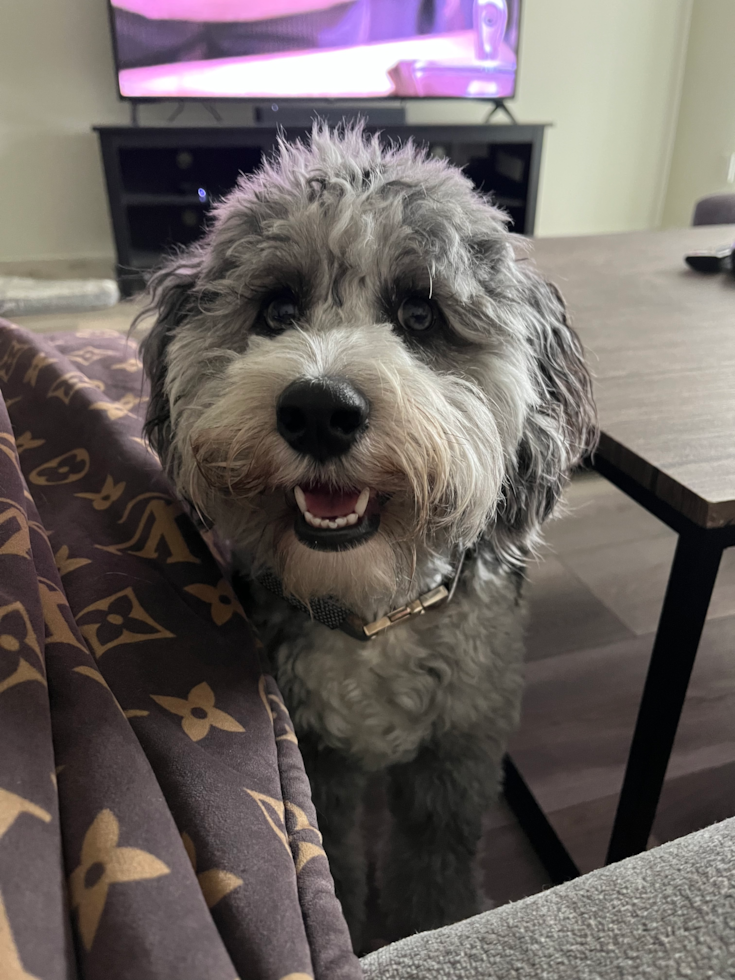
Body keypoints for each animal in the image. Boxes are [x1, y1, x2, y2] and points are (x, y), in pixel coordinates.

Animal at [139, 122, 600, 948]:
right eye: (277, 308)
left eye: (419, 316)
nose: (318, 411)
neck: (374, 609)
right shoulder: (318, 761)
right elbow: (333, 864)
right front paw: (352, 928)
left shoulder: (459, 751)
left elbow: (436, 861)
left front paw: (435, 921)